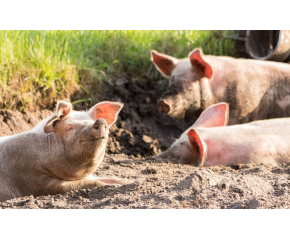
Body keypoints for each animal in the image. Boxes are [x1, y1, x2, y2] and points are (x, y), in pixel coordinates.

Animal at [0, 100, 131, 202]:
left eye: (91, 121)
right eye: (69, 128)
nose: (100, 121)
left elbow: (107, 178)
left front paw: (129, 182)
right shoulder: (32, 179)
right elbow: (88, 184)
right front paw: (113, 186)